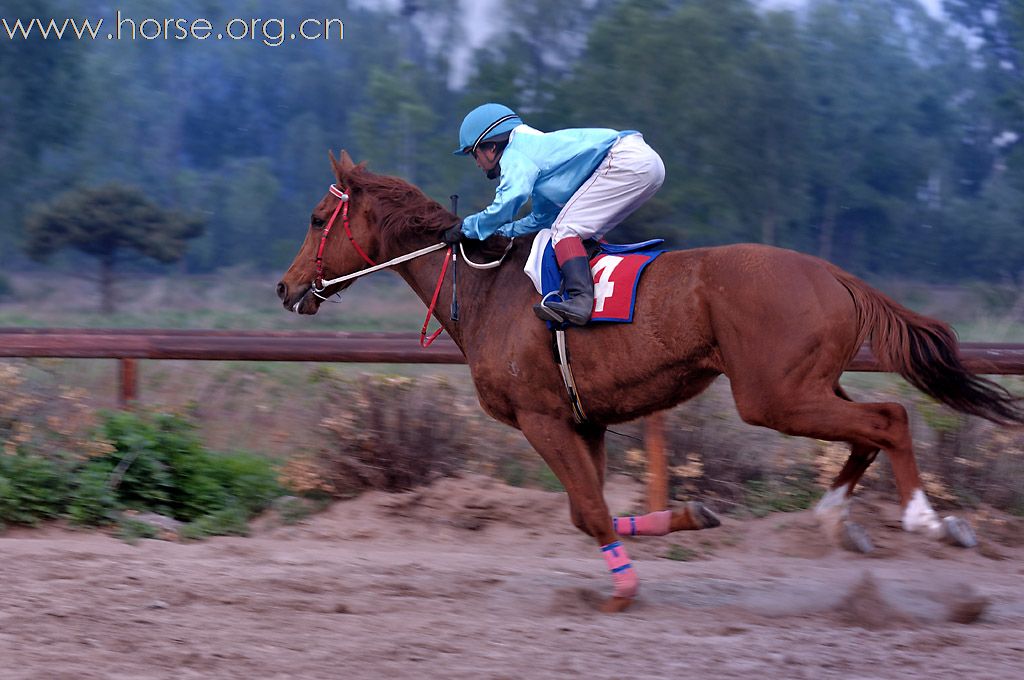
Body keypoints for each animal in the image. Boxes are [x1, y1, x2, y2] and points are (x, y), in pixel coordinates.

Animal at [276, 151, 1019, 614]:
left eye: (315, 218)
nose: (285, 289)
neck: (484, 289)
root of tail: (834, 274)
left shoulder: (543, 418)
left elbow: (591, 512)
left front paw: (623, 592)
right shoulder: (585, 420)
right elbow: (590, 510)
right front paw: (690, 515)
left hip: (772, 396)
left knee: (888, 418)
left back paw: (929, 520)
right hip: (807, 385)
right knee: (870, 427)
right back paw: (840, 519)